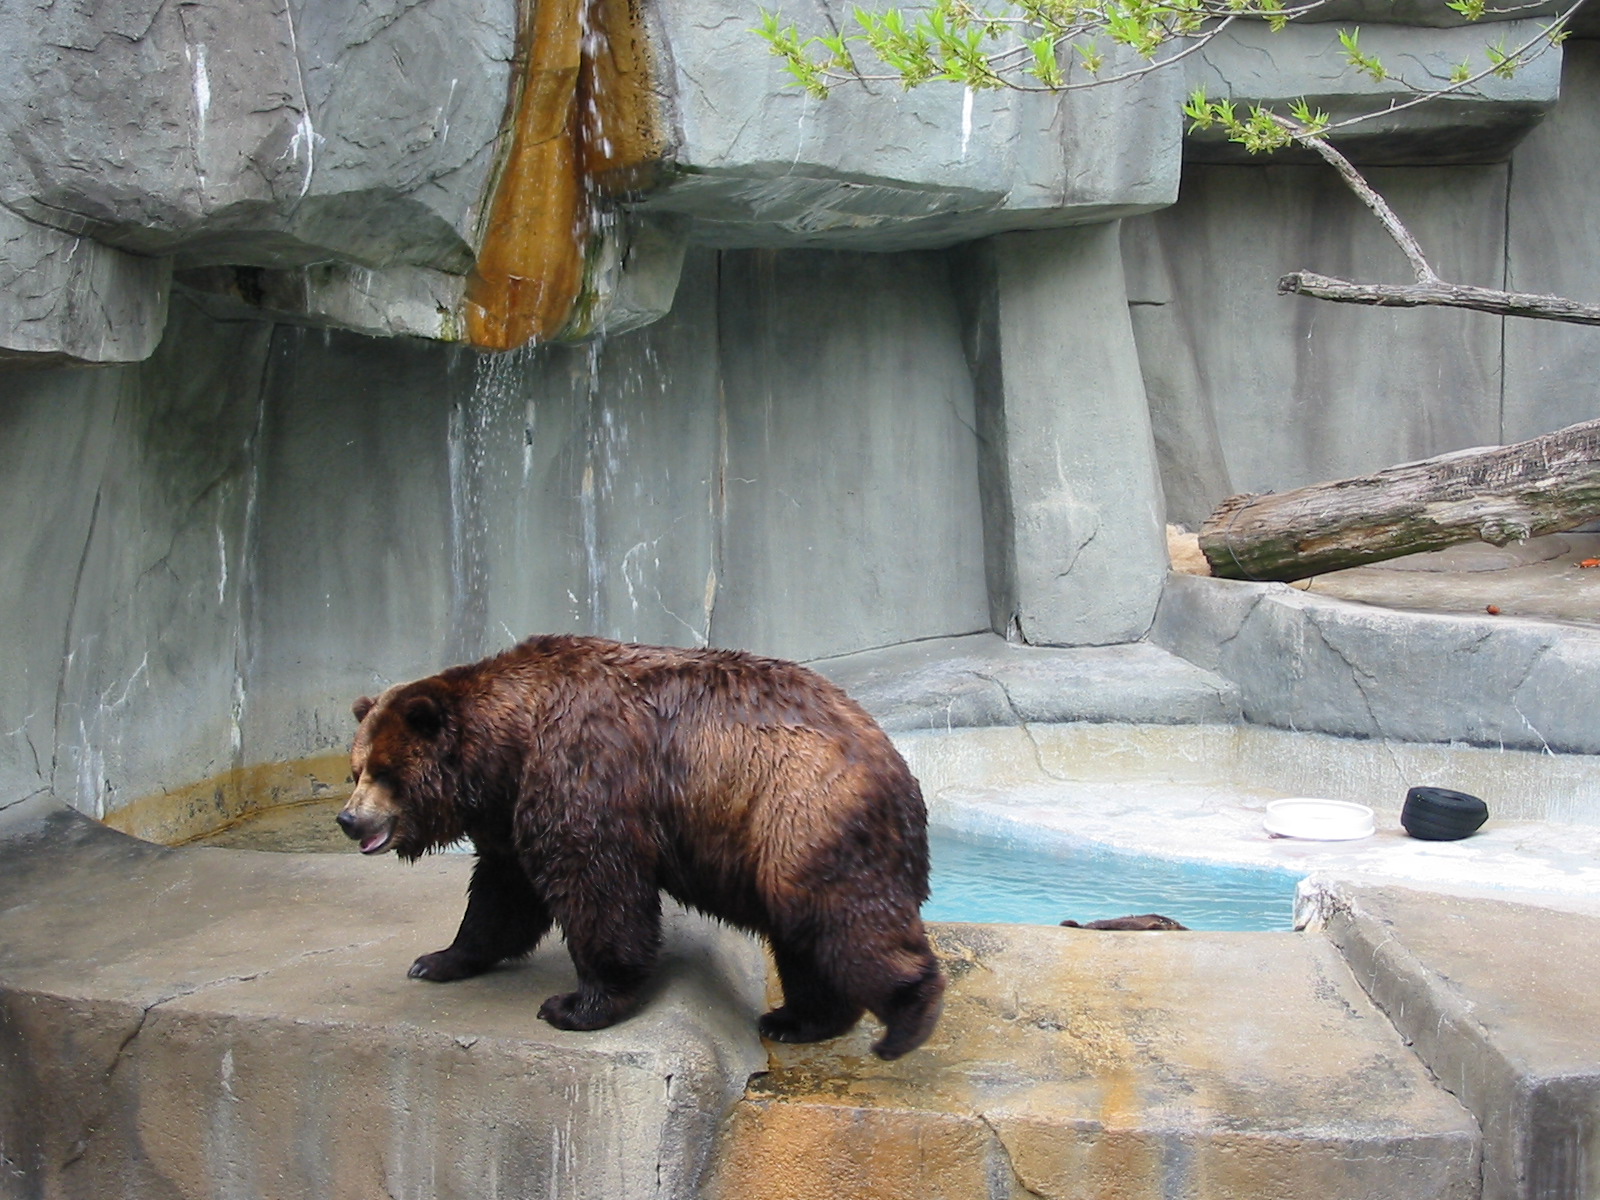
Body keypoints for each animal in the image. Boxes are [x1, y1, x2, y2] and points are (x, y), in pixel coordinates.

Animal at [336, 634, 945, 1060]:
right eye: (356, 768)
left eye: (386, 772)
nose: (349, 819)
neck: (510, 746)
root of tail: (899, 766)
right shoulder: (509, 813)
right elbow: (500, 896)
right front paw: (437, 960)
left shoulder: (581, 773)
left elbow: (598, 886)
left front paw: (576, 1004)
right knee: (804, 938)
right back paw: (798, 1019)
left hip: (801, 815)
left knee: (844, 920)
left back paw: (905, 1018)